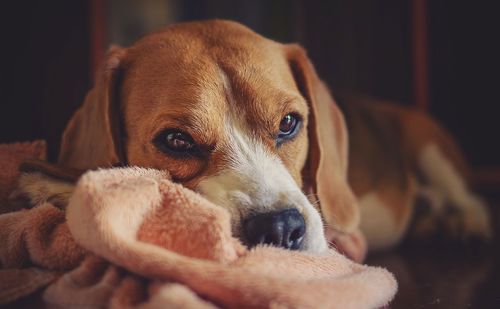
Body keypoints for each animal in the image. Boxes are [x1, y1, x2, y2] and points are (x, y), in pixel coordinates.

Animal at [16, 18, 492, 258]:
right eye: (176, 140)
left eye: (289, 124)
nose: (280, 227)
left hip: (429, 143)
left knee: (462, 192)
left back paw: (466, 220)